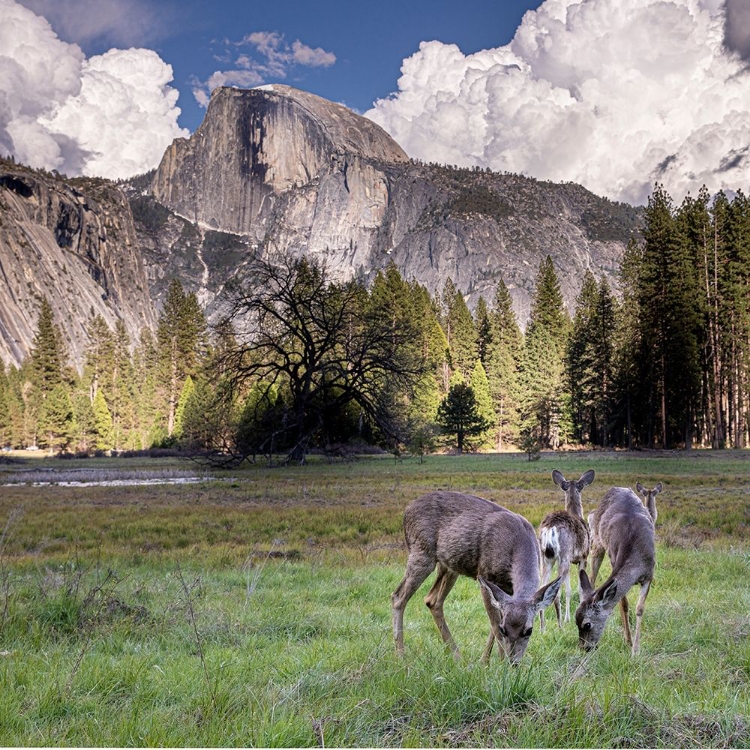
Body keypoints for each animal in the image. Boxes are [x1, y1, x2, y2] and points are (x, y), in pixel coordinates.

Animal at [394, 494, 564, 664]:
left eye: (529, 630)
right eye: (504, 629)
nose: (513, 662)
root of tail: (406, 511)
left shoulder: (505, 591)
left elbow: (493, 625)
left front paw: (485, 662)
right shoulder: (485, 576)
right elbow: (495, 625)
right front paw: (497, 663)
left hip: (449, 566)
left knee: (432, 600)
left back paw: (457, 656)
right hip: (421, 551)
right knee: (398, 596)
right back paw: (401, 655)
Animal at [536, 470, 596, 636]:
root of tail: (550, 527)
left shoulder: (570, 560)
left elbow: (569, 590)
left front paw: (569, 618)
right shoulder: (583, 557)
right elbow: (579, 588)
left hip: (546, 558)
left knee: (541, 589)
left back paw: (543, 628)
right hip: (562, 554)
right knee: (556, 593)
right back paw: (559, 626)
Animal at [580, 488, 656, 656]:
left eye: (587, 624)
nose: (584, 648)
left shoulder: (650, 574)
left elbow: (640, 608)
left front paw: (635, 650)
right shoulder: (614, 560)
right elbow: (624, 604)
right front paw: (628, 641)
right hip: (597, 543)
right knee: (592, 578)